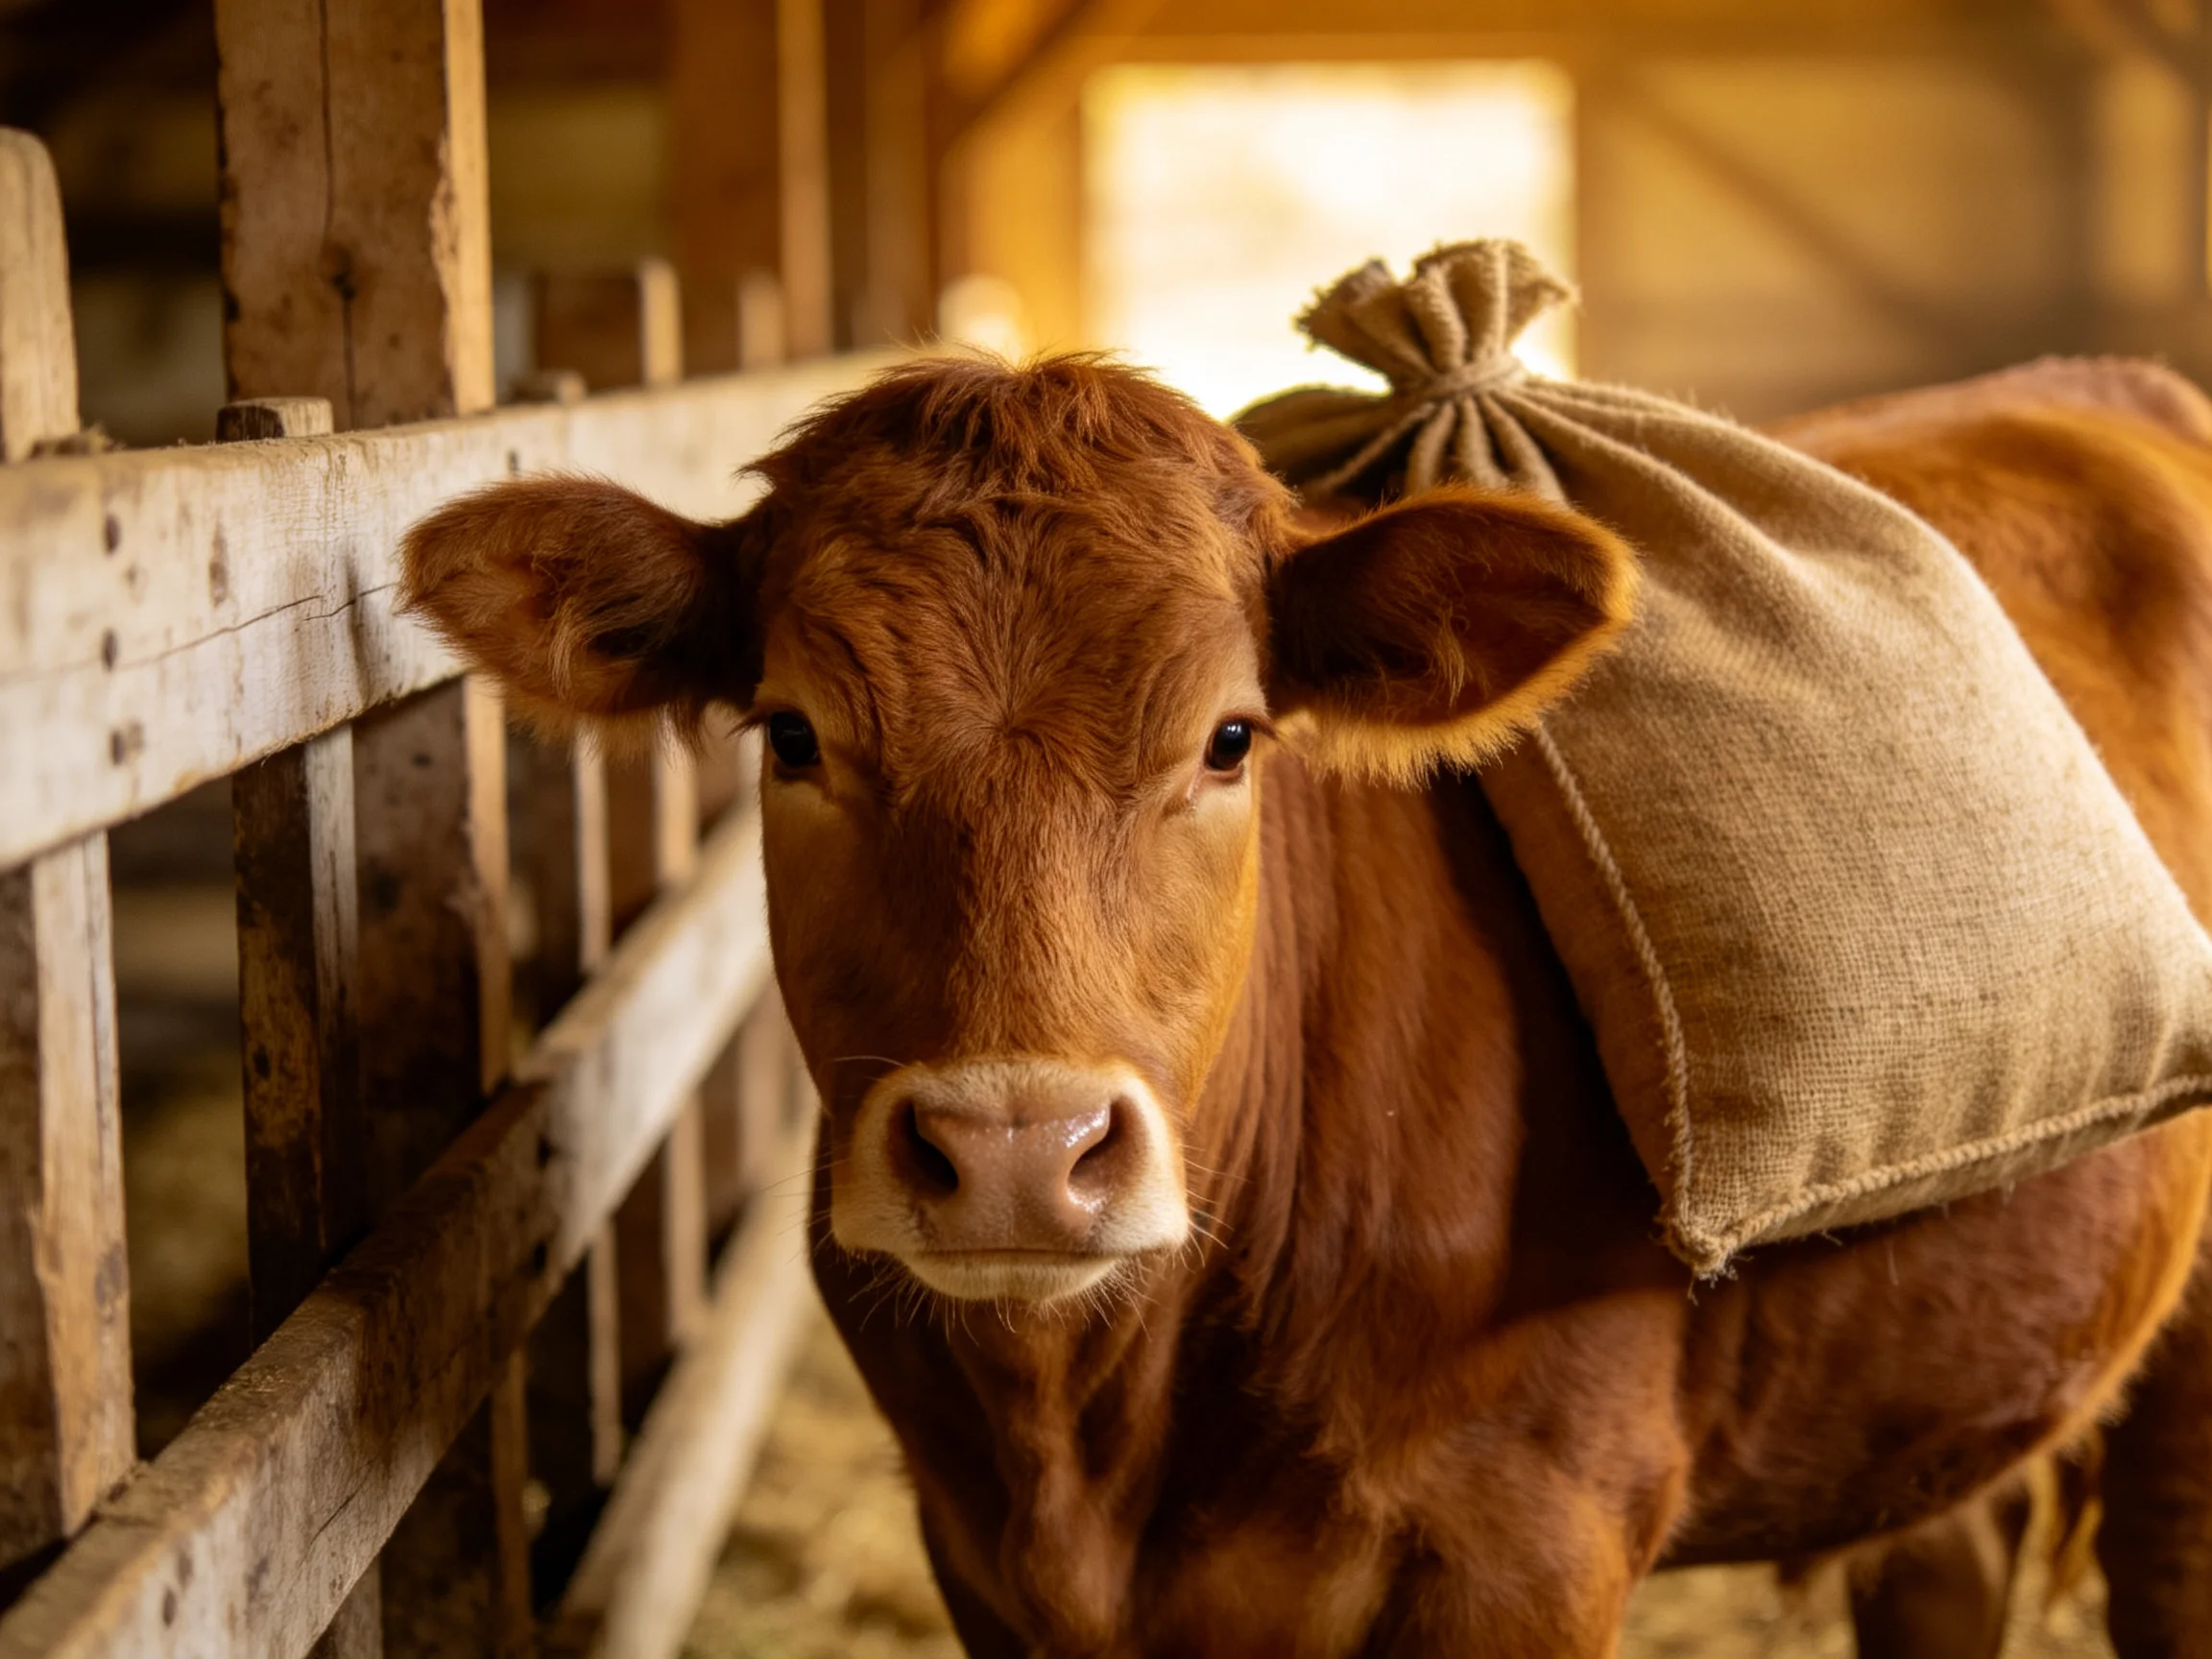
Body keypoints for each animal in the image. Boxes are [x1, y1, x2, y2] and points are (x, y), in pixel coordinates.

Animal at [402, 352, 2212, 1657]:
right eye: (791, 734)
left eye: (1227, 737)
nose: (1014, 1149)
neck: (1100, 1435)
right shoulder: (980, 1561)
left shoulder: (1526, 1546)